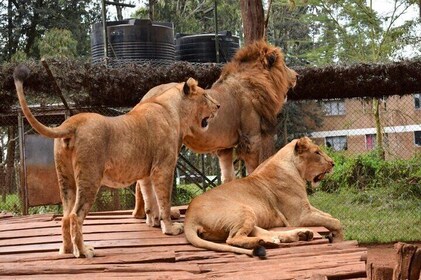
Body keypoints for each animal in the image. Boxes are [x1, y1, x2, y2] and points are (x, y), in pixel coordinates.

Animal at [12, 65, 218, 258]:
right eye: (205, 95)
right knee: (75, 216)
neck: (174, 109)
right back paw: (84, 251)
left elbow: (149, 199)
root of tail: (71, 123)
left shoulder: (147, 173)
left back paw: (67, 250)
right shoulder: (163, 168)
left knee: (65, 216)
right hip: (90, 177)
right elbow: (164, 200)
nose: (218, 106)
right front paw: (170, 228)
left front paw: (153, 221)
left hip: (66, 180)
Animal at [133, 40, 296, 219]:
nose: (297, 75)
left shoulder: (225, 147)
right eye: (285, 65)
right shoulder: (251, 139)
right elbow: (254, 170)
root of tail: (144, 98)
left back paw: (140, 214)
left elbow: (228, 177)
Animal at [184, 137, 342, 258]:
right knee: (233, 239)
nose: (333, 163)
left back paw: (298, 235)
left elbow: (328, 215)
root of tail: (189, 215)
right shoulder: (300, 216)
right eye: (317, 152)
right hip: (243, 210)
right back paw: (265, 242)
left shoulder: (306, 208)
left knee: (261, 232)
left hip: (247, 215)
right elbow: (336, 222)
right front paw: (339, 239)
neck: (294, 168)